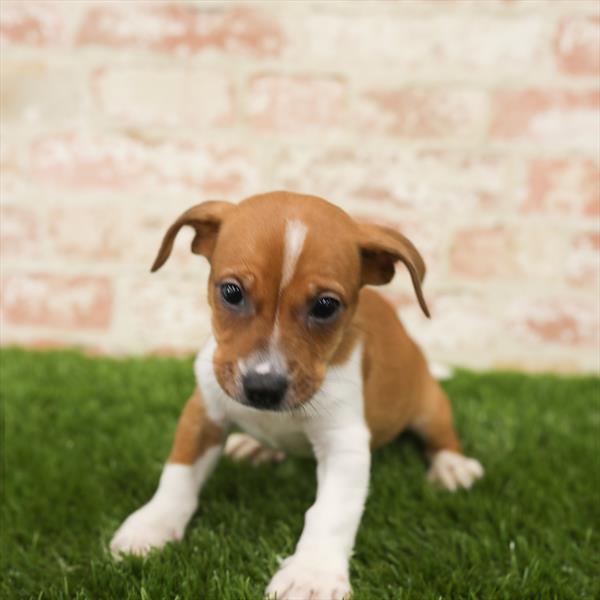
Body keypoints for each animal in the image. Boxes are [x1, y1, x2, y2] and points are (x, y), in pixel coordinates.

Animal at [109, 192, 482, 600]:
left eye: (325, 306)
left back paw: (452, 466)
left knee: (442, 436)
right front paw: (152, 525)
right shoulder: (203, 412)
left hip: (428, 407)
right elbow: (178, 473)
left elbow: (331, 512)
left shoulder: (345, 443)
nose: (263, 388)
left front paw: (312, 574)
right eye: (231, 292)